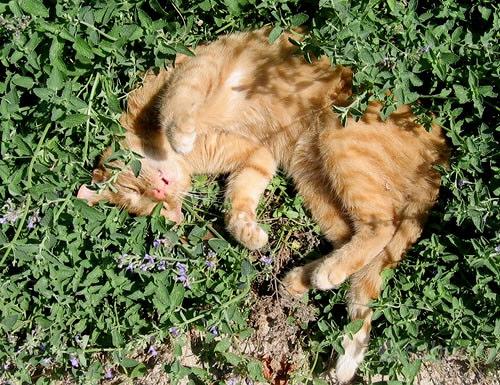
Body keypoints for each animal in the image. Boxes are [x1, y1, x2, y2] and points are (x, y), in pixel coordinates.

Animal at [79, 29, 450, 380]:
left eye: (133, 189)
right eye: (154, 210)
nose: (162, 198)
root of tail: (439, 152)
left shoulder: (199, 70)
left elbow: (176, 104)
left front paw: (180, 134)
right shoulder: (258, 155)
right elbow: (236, 203)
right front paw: (249, 234)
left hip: (342, 146)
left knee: (382, 226)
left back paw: (323, 274)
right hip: (316, 177)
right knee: (359, 240)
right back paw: (307, 277)